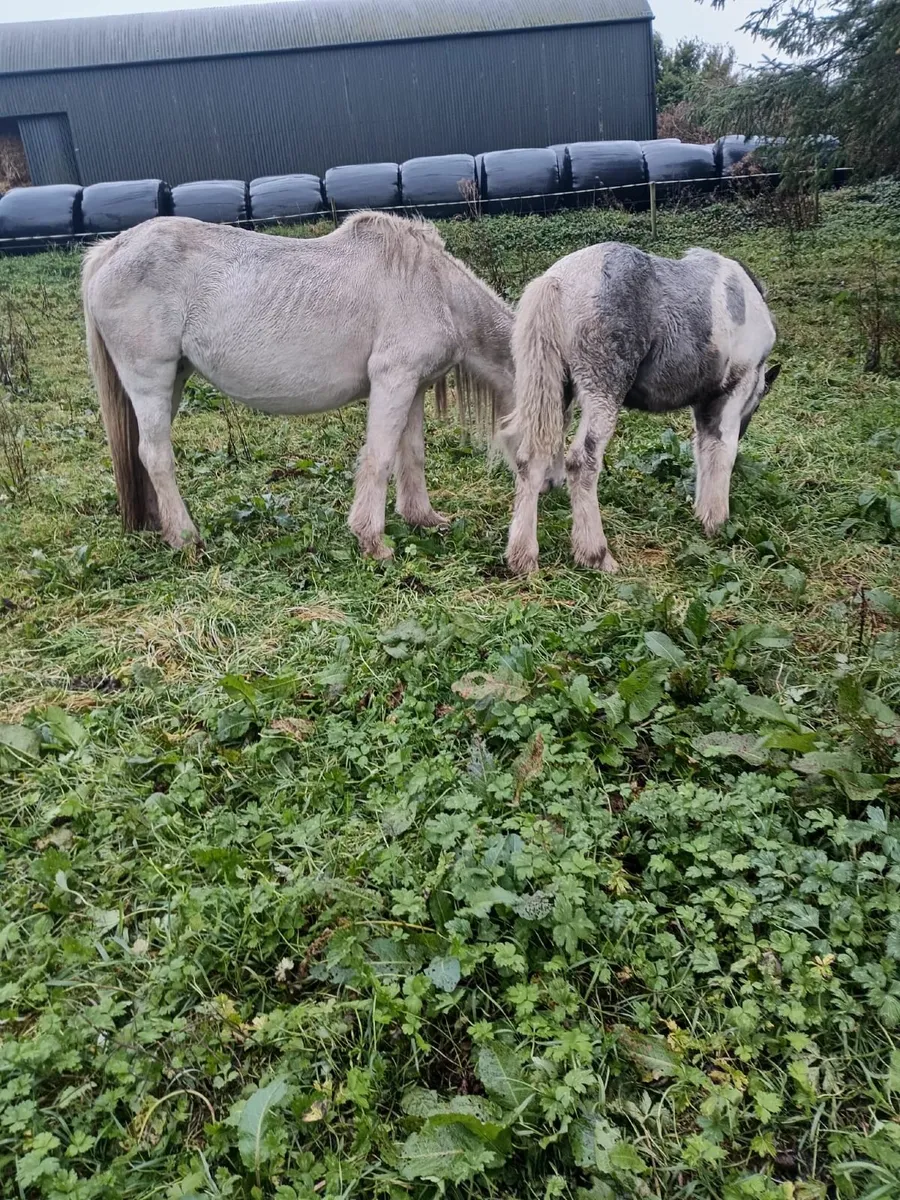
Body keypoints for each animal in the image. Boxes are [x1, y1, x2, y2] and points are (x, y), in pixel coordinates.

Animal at [82, 211, 517, 561]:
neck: (436, 290)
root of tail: (111, 250)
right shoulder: (393, 379)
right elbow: (379, 458)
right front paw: (373, 541)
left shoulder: (413, 387)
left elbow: (411, 456)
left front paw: (423, 518)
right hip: (150, 380)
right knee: (155, 455)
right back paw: (186, 538)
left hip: (172, 379)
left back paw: (161, 525)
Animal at [504, 242, 780, 575]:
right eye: (760, 398)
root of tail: (558, 281)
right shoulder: (734, 389)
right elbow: (722, 451)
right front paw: (717, 523)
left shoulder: (704, 403)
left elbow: (704, 449)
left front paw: (703, 513)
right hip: (604, 391)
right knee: (582, 462)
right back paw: (595, 554)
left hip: (556, 390)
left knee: (529, 458)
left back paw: (523, 556)